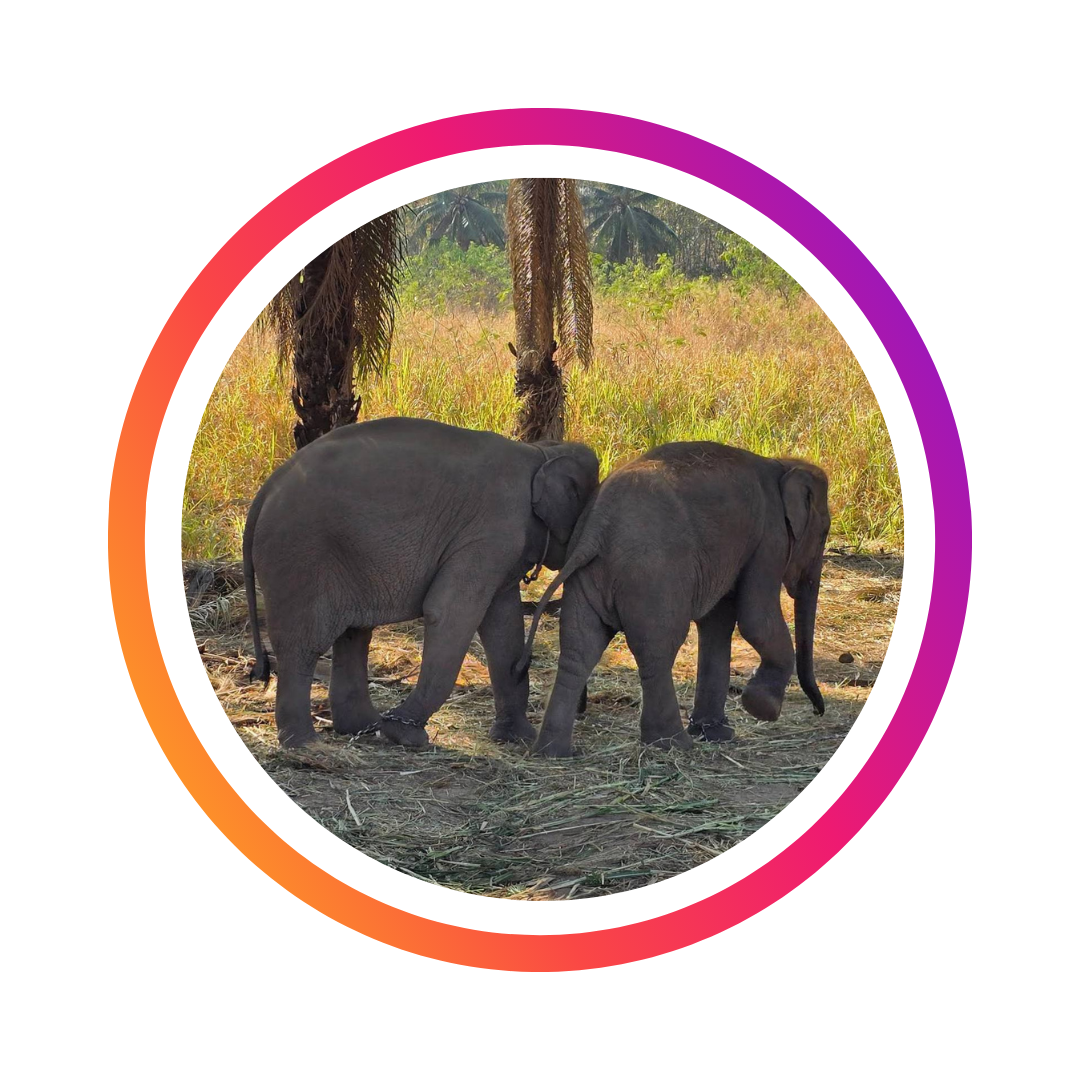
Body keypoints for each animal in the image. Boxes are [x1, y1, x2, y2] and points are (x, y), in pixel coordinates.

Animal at [242, 416, 600, 749]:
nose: (584, 706)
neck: (541, 452)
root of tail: (266, 491)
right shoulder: (494, 530)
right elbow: (451, 613)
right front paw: (403, 733)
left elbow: (503, 625)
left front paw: (517, 738)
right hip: (299, 555)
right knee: (304, 644)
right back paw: (306, 744)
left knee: (354, 634)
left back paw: (362, 728)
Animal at [515, 441, 831, 757]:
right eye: (824, 533)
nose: (819, 712)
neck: (782, 464)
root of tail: (597, 529)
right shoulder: (770, 538)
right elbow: (756, 619)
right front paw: (763, 708)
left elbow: (717, 623)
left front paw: (716, 734)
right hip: (653, 577)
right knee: (657, 649)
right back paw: (673, 744)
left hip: (587, 577)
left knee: (578, 651)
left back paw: (553, 752)